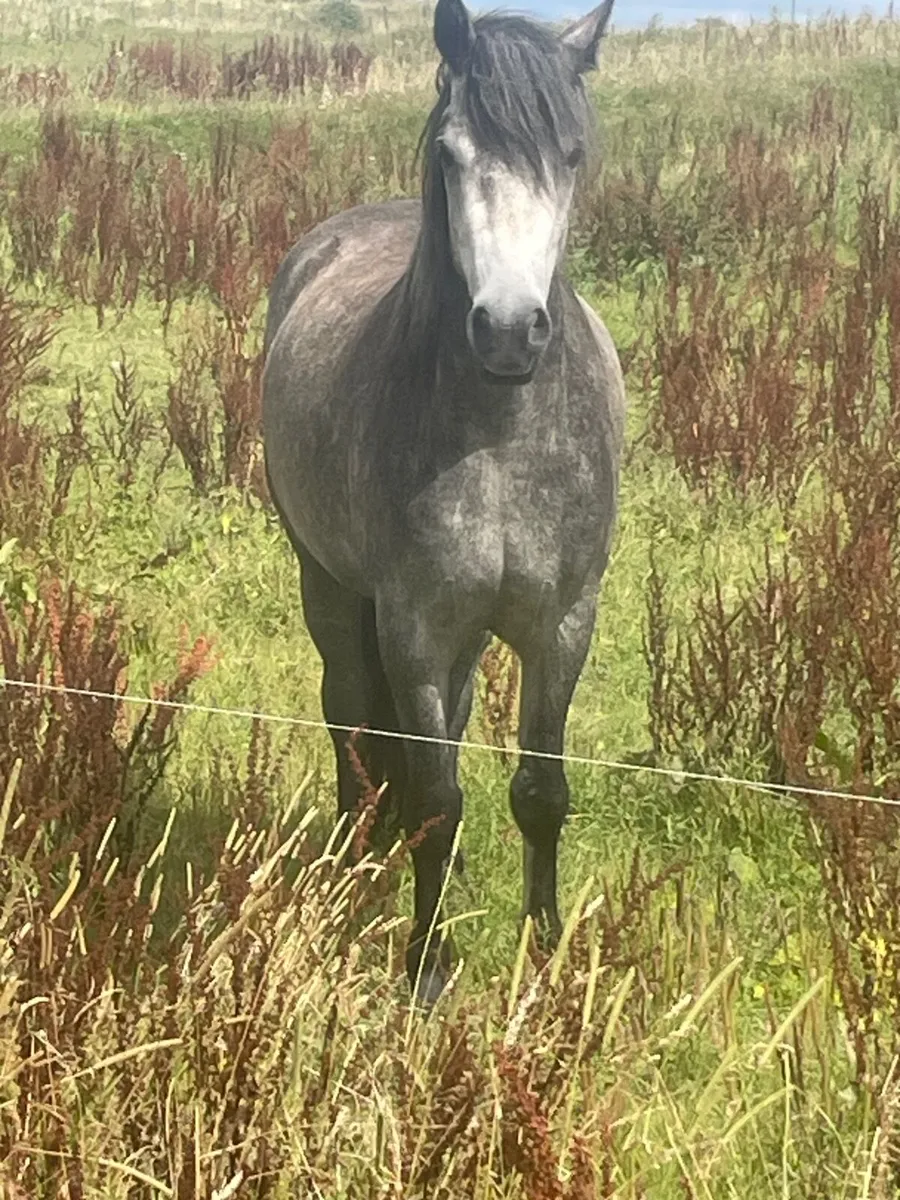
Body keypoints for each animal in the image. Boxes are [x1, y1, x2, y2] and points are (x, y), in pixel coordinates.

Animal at [262, 0, 626, 1007]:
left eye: (570, 154)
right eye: (454, 156)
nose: (508, 331)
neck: (498, 435)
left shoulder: (562, 622)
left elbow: (539, 790)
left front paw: (546, 954)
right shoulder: (415, 625)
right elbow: (430, 788)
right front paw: (426, 969)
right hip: (330, 588)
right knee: (352, 716)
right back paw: (355, 855)